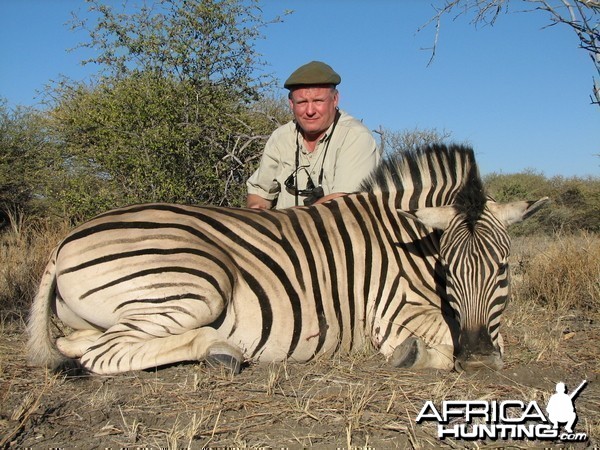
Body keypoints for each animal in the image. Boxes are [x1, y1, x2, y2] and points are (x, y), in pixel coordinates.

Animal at [27, 144, 548, 376]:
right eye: (448, 269)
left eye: (504, 268)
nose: (478, 357)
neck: (409, 240)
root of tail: (63, 243)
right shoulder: (391, 309)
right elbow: (438, 345)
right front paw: (410, 354)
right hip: (198, 282)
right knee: (102, 353)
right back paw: (219, 349)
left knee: (78, 342)